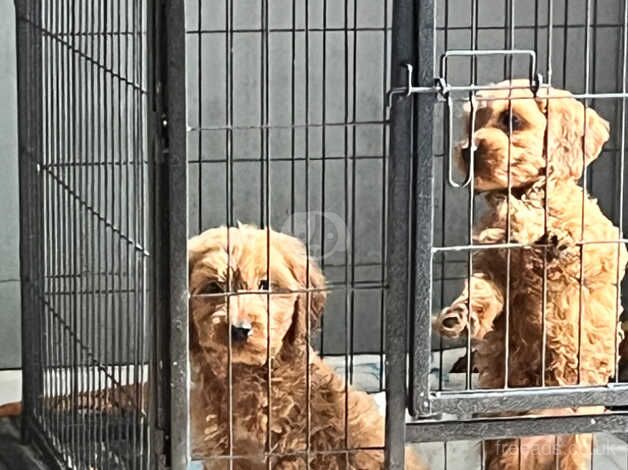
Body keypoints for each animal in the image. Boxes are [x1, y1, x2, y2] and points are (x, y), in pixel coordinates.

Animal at [186, 224, 424, 470]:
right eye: (214, 287)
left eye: (265, 285)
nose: (240, 329)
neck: (245, 376)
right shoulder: (223, 455)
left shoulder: (294, 451)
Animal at [434, 80, 628, 470]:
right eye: (472, 122)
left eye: (512, 120)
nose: (466, 151)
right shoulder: (491, 266)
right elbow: (483, 289)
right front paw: (460, 315)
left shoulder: (607, 250)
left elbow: (569, 241)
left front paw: (548, 234)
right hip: (507, 447)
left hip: (573, 445)